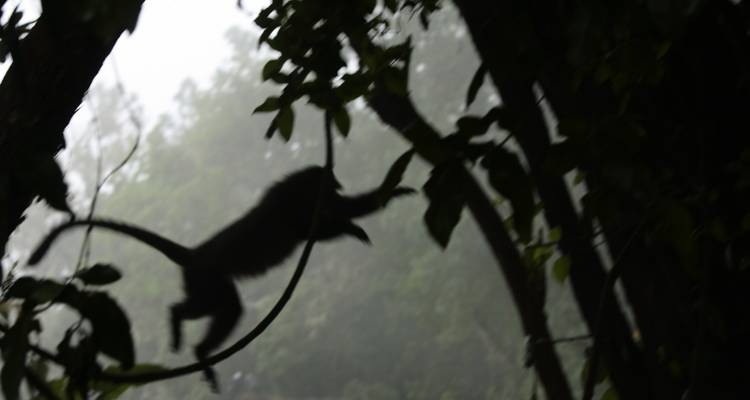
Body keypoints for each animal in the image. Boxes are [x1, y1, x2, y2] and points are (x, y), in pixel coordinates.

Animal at [29, 165, 413, 387]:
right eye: (330, 181)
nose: (339, 185)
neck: (298, 189)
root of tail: (194, 253)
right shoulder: (294, 208)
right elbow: (315, 231)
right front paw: (354, 225)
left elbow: (332, 221)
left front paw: (391, 192)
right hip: (208, 279)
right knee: (227, 306)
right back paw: (195, 344)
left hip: (198, 280)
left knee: (208, 306)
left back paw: (181, 327)